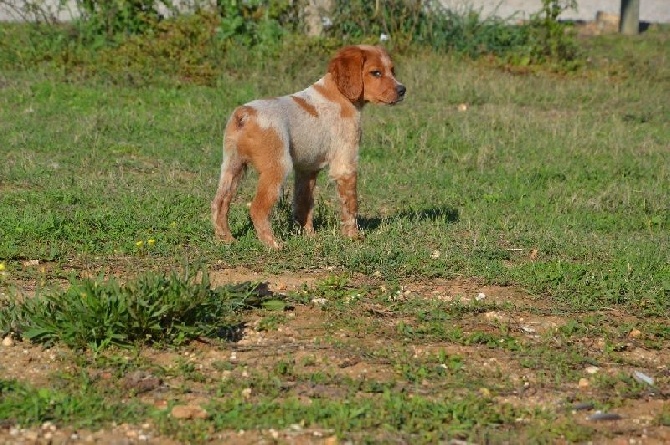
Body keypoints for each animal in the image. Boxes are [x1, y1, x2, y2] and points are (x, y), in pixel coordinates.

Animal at [213, 45, 406, 248]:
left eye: (392, 70)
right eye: (375, 73)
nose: (403, 90)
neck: (339, 94)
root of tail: (245, 114)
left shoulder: (307, 169)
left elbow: (303, 204)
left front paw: (309, 236)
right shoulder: (345, 164)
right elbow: (350, 204)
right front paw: (353, 236)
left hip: (232, 167)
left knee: (219, 203)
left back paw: (226, 238)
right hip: (277, 168)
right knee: (257, 208)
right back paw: (273, 244)